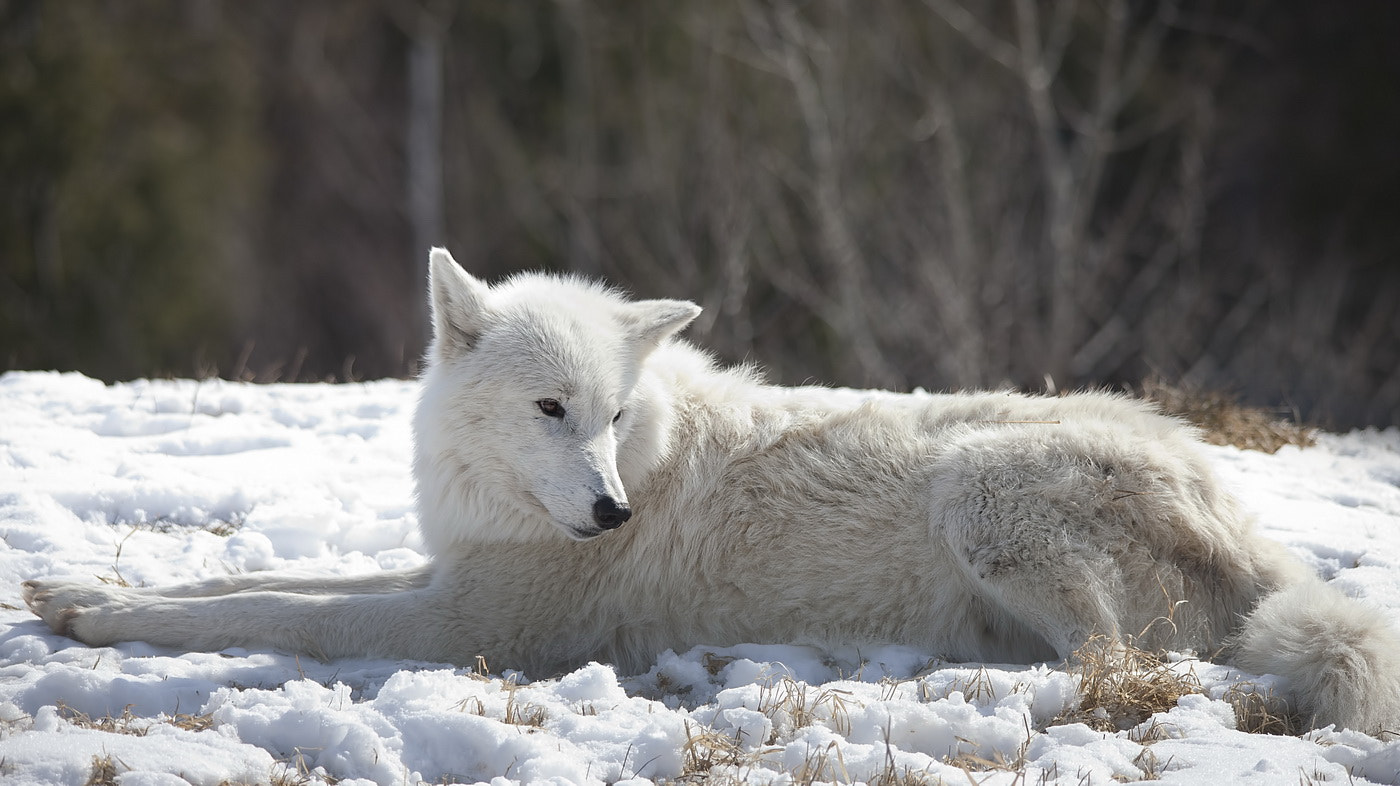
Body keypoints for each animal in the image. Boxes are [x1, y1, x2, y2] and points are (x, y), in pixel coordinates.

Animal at [23, 248, 1400, 733]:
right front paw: (77, 594)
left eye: (611, 416)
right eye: (552, 411)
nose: (611, 516)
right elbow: (241, 581)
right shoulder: (444, 573)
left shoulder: (463, 623)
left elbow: (282, 612)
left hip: (978, 497)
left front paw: (102, 617)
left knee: (1119, 664)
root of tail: (1256, 536)